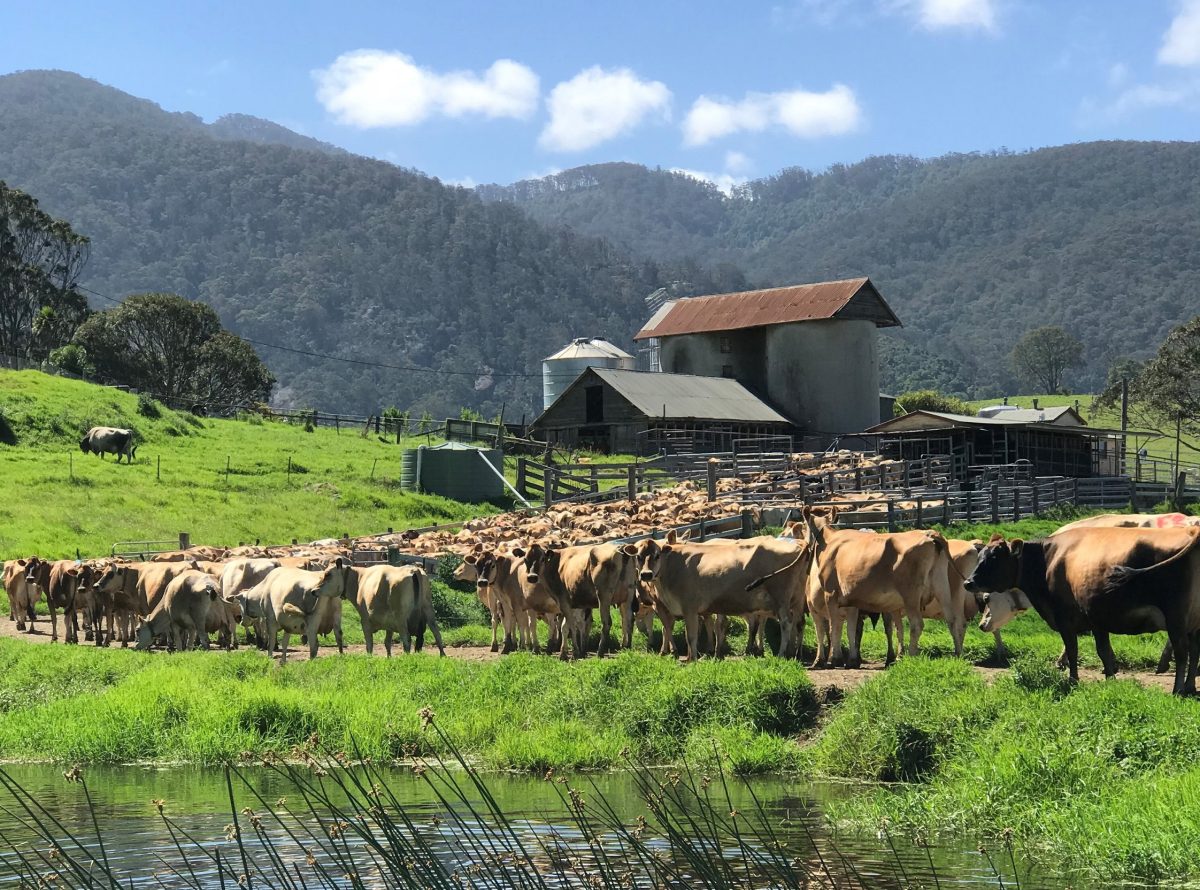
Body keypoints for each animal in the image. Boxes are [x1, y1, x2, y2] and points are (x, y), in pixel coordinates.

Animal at [633, 537, 811, 662]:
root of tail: (801, 543)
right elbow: (674, 629)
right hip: (797, 598)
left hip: (781, 598)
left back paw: (781, 654)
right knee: (798, 622)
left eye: (657, 555)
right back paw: (794, 652)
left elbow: (690, 635)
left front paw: (692, 659)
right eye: (638, 556)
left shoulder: (689, 607)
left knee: (786, 623)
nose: (646, 574)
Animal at [801, 508, 960, 671]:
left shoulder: (831, 593)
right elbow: (851, 629)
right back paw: (958, 654)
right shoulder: (851, 600)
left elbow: (834, 627)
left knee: (916, 624)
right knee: (952, 620)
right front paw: (851, 660)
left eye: (803, 526)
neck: (828, 540)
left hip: (911, 594)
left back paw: (911, 656)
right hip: (942, 586)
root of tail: (929, 533)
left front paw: (835, 659)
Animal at [964, 530, 1200, 695]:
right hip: (1192, 623)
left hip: (1176, 618)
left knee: (1182, 652)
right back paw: (1189, 686)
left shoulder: (1065, 619)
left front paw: (1073, 680)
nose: (968, 582)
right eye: (980, 556)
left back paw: (1178, 689)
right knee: (1195, 652)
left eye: (995, 558)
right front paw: (1110, 680)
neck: (1048, 561)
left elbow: (1073, 650)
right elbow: (1104, 652)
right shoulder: (1097, 620)